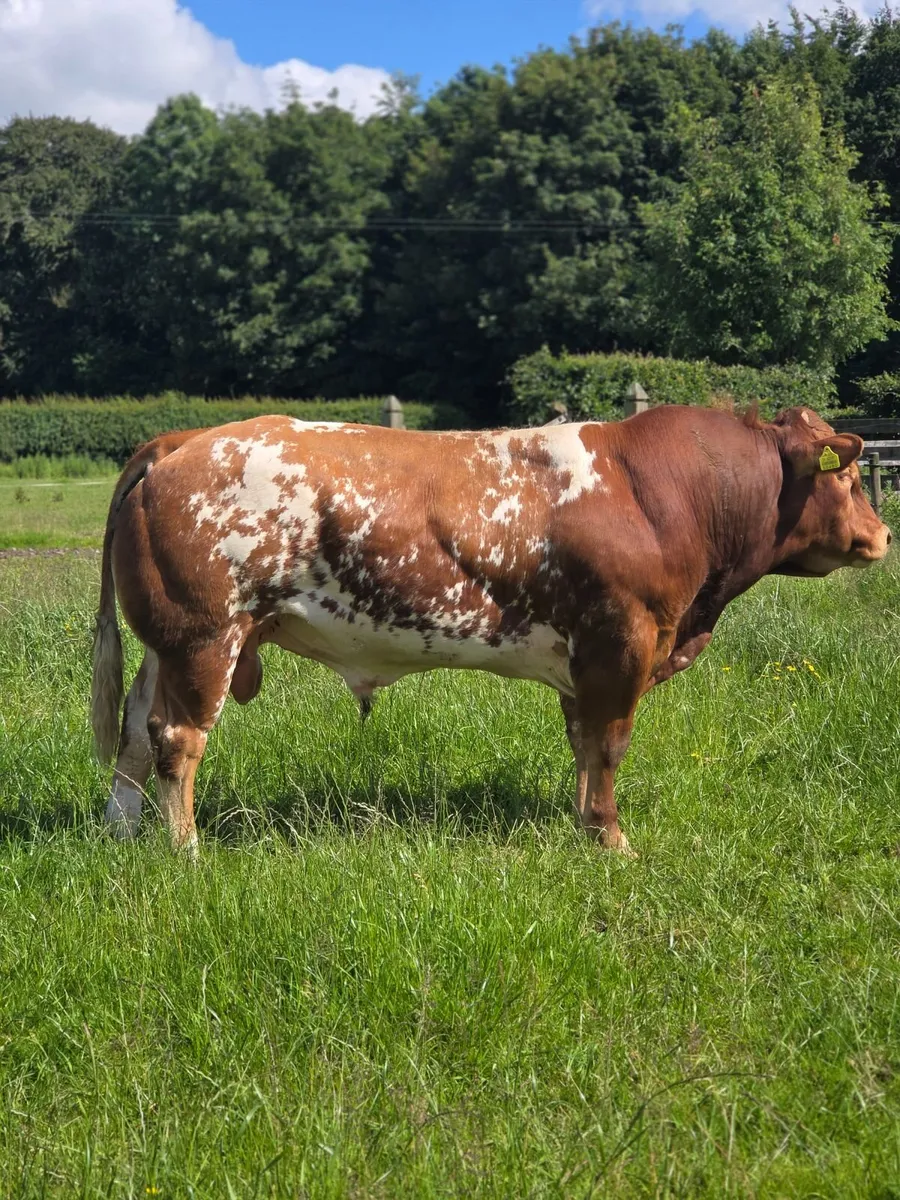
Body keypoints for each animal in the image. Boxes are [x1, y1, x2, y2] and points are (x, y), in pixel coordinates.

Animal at [91, 404, 890, 857]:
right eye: (849, 476)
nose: (882, 536)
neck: (671, 492)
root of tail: (184, 439)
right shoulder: (621, 642)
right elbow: (609, 747)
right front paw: (612, 840)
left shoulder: (583, 661)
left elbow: (582, 745)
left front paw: (583, 825)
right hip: (204, 636)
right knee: (177, 739)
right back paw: (185, 850)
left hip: (166, 644)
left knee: (134, 731)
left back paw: (122, 831)